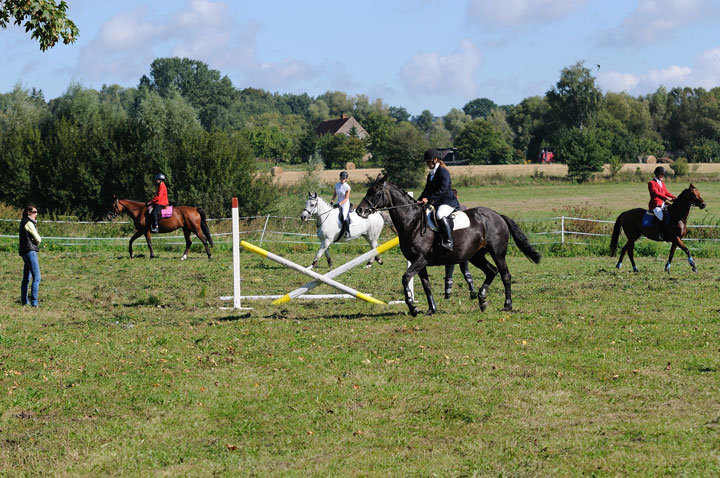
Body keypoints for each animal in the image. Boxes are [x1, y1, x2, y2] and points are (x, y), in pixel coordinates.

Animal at [356, 174, 540, 316]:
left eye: (376, 192)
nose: (359, 211)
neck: (412, 222)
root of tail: (497, 215)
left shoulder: (420, 259)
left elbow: (406, 278)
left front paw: (412, 307)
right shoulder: (420, 262)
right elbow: (426, 286)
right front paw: (431, 309)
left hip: (498, 252)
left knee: (505, 275)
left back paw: (507, 305)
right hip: (476, 256)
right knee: (491, 271)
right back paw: (482, 300)